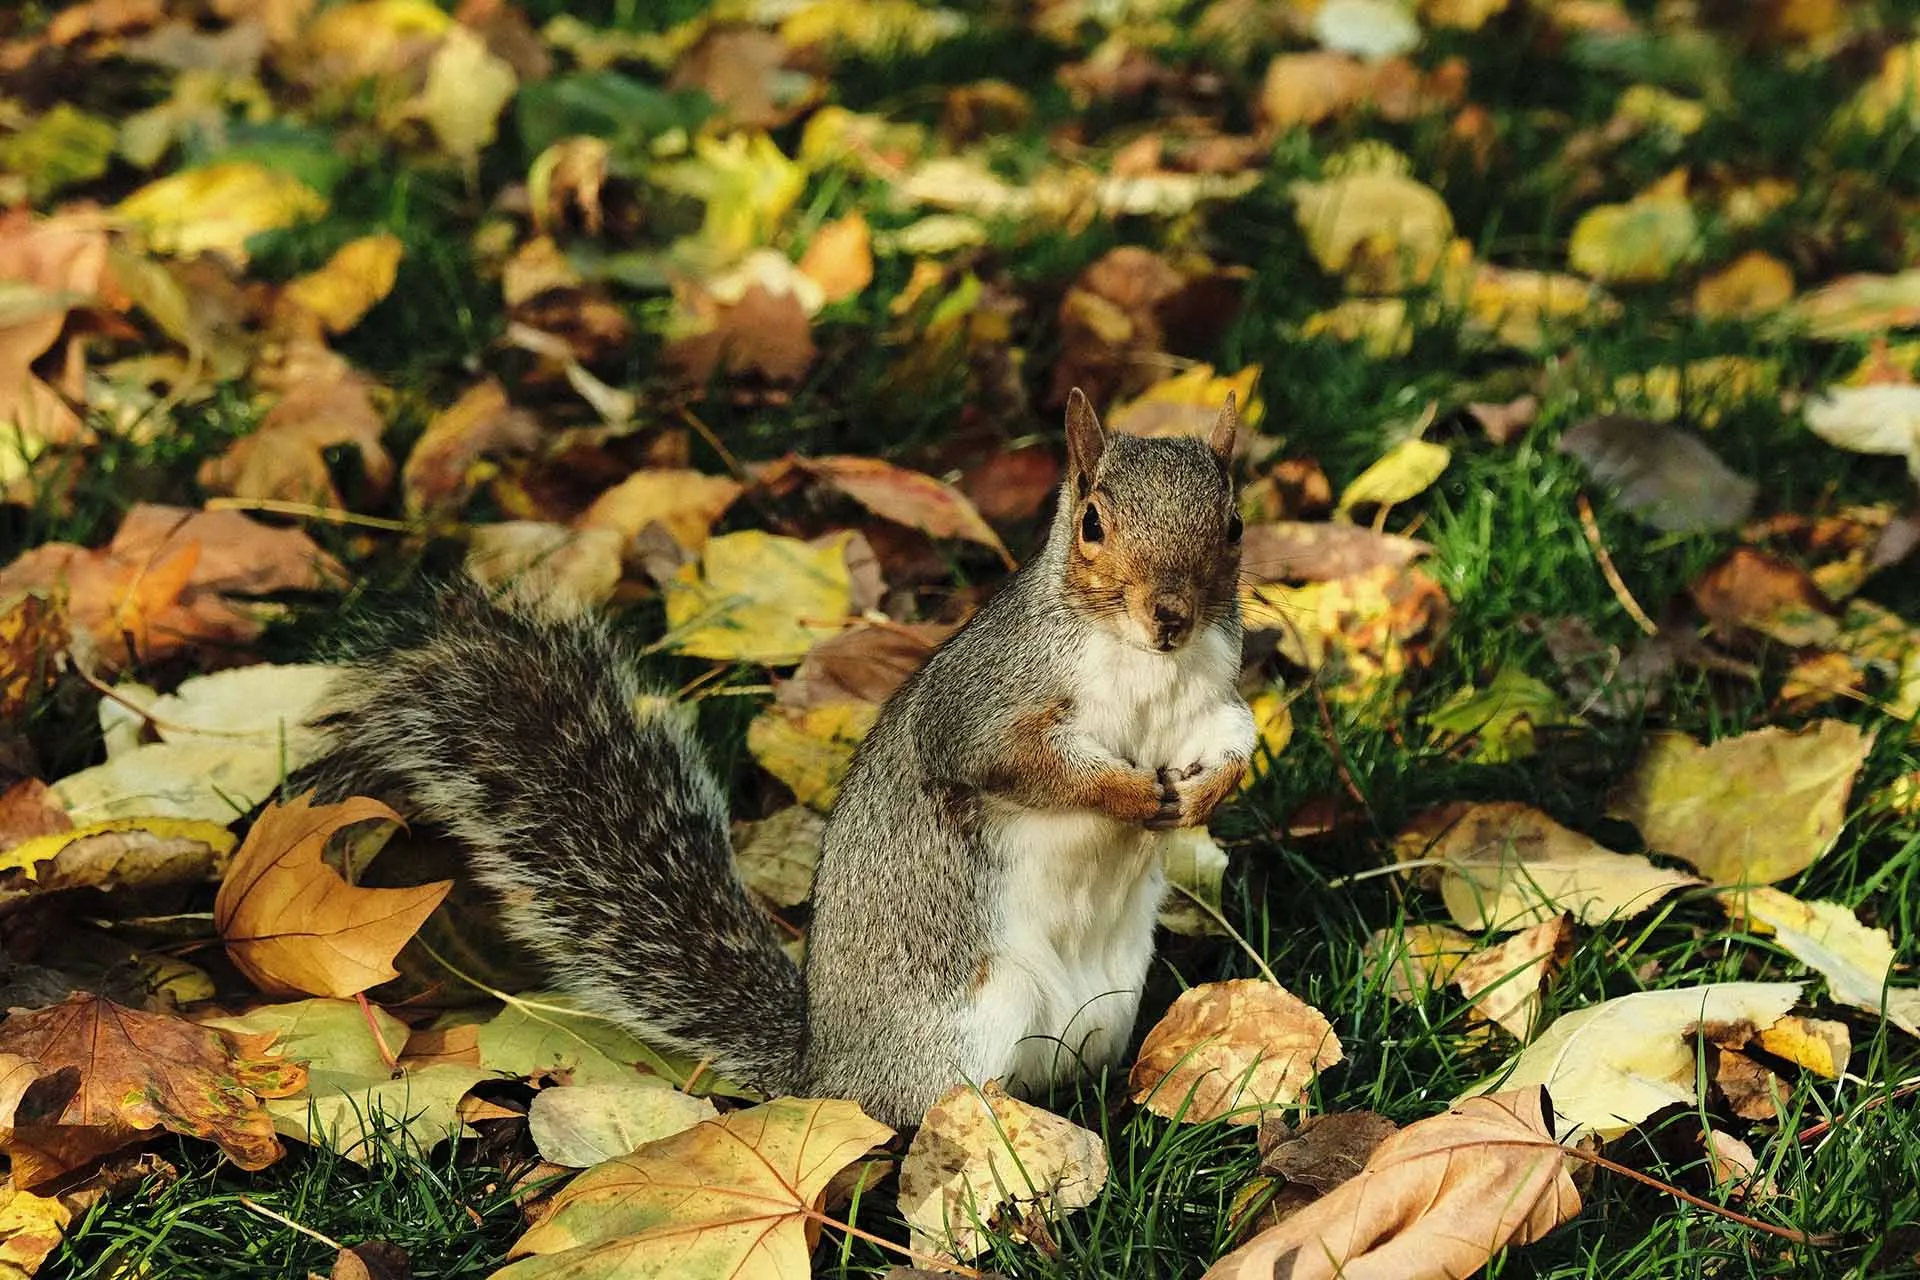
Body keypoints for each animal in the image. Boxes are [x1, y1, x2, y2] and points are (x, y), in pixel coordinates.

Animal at [301, 385, 1259, 1128]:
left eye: (1236, 523)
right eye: (1092, 523)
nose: (1171, 614)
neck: (1145, 665)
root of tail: (822, 1070)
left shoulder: (1211, 694)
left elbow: (1236, 738)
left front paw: (1207, 793)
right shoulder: (987, 703)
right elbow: (1017, 763)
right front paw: (1127, 795)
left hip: (1110, 1006)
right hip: (971, 1020)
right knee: (921, 1120)